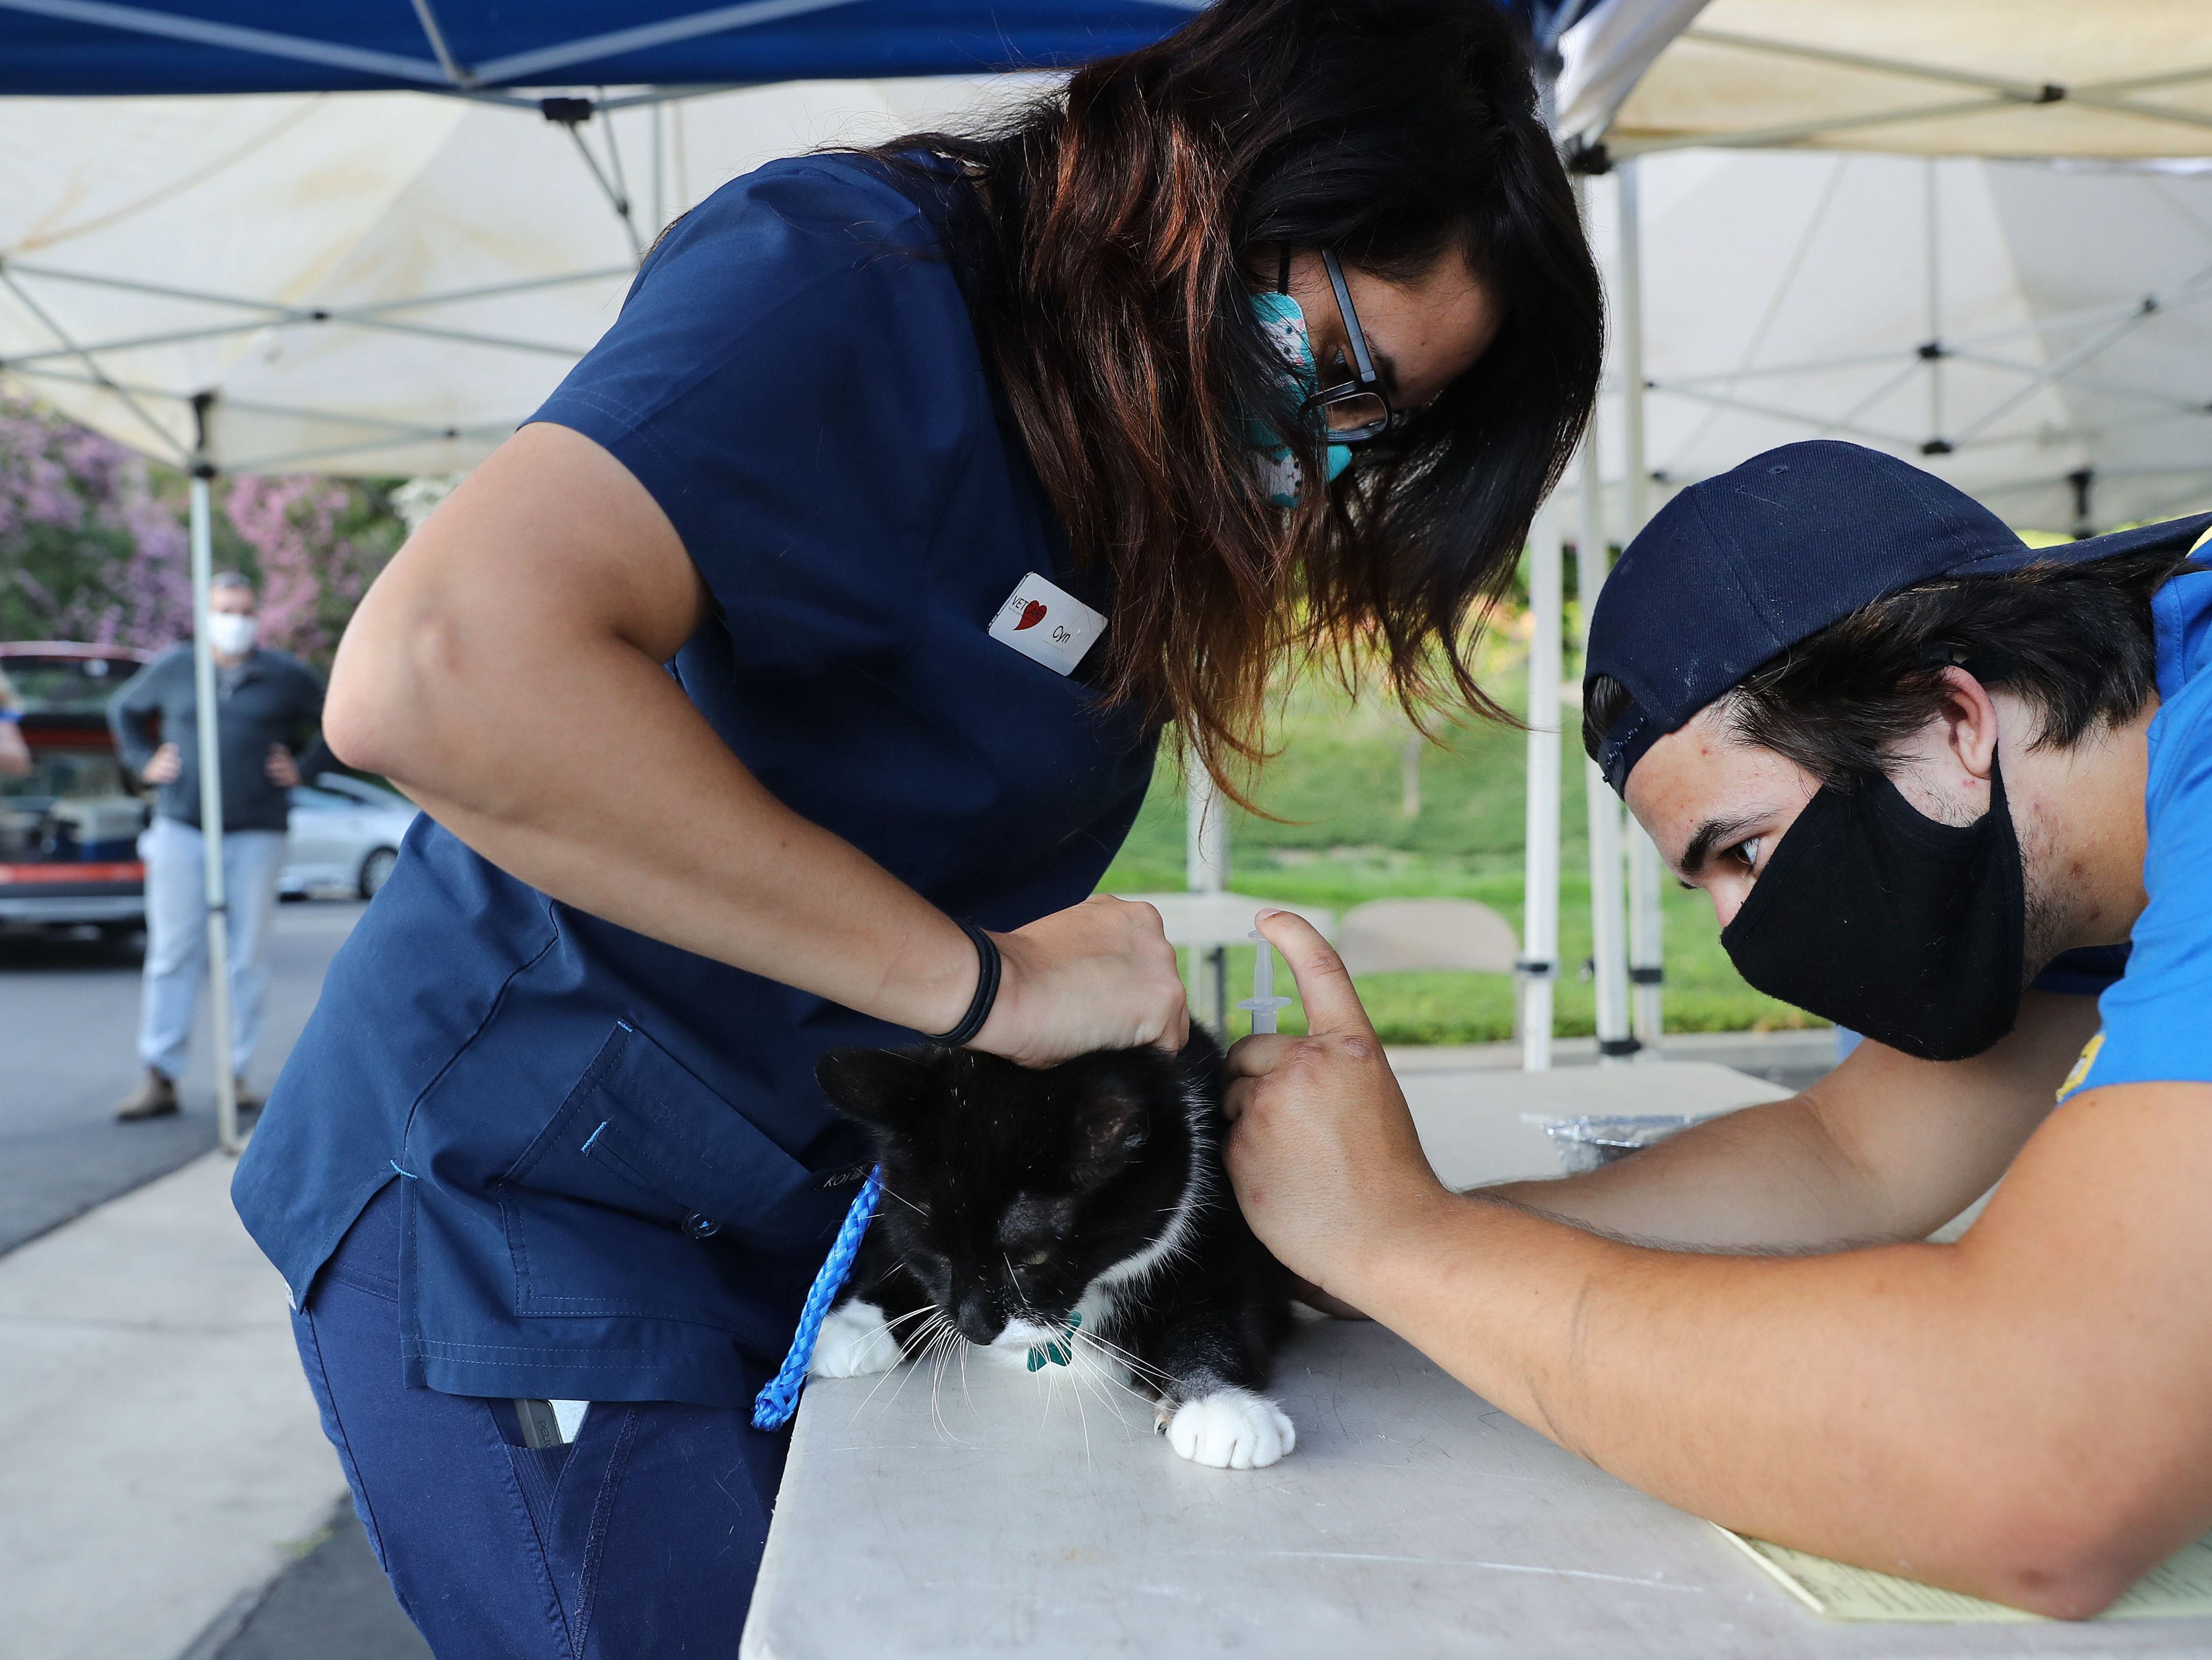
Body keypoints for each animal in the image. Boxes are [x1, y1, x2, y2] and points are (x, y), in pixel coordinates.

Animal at [814, 1035, 1292, 1478]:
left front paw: (1221, 1404)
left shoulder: (1228, 1224)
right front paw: (856, 1323)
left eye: (1037, 1256)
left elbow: (1220, 1316)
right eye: (937, 1252)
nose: (976, 1329)